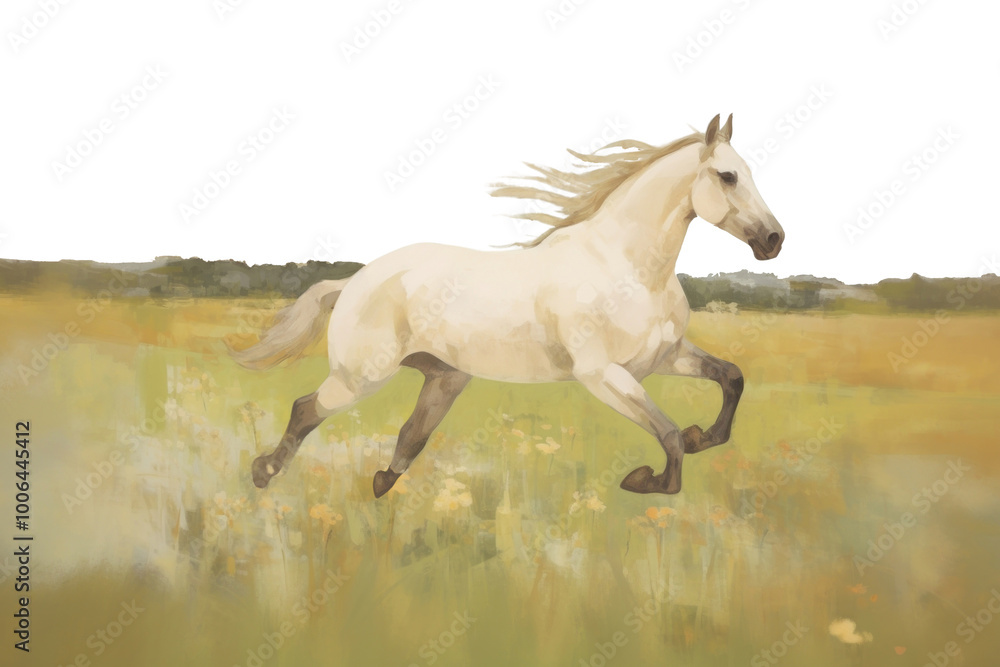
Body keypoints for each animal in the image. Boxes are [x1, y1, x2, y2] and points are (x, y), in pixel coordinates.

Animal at [230, 114, 784, 497]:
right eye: (728, 176)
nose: (774, 240)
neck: (629, 268)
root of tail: (353, 282)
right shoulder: (602, 374)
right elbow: (668, 435)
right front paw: (644, 479)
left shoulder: (664, 358)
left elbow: (731, 378)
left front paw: (703, 436)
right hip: (360, 376)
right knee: (306, 409)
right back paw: (263, 472)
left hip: (444, 377)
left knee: (411, 433)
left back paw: (383, 482)